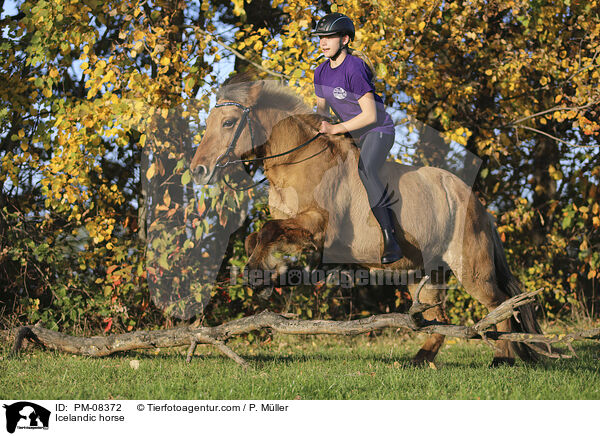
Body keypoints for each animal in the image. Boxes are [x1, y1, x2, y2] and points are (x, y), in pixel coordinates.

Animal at [192, 76, 544, 368]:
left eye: (228, 122)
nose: (198, 170)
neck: (297, 161)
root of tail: (475, 202)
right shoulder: (292, 226)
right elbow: (257, 237)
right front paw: (265, 277)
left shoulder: (316, 226)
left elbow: (265, 231)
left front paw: (258, 275)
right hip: (421, 273)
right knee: (436, 317)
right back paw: (418, 360)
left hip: (470, 268)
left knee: (499, 304)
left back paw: (501, 358)